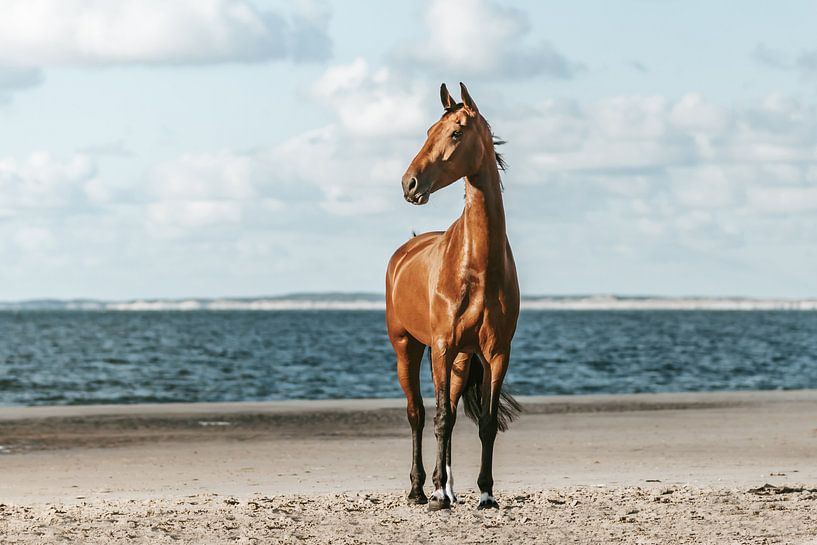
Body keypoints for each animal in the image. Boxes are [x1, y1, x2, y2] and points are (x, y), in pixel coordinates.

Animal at [385, 82, 520, 511]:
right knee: (418, 413)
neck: (477, 266)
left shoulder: (496, 352)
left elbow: (487, 423)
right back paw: (420, 490)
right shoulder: (442, 345)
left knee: (452, 411)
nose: (409, 183)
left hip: (460, 359)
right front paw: (437, 496)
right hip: (408, 347)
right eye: (429, 130)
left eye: (457, 133)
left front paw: (486, 493)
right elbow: (440, 418)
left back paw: (446, 486)